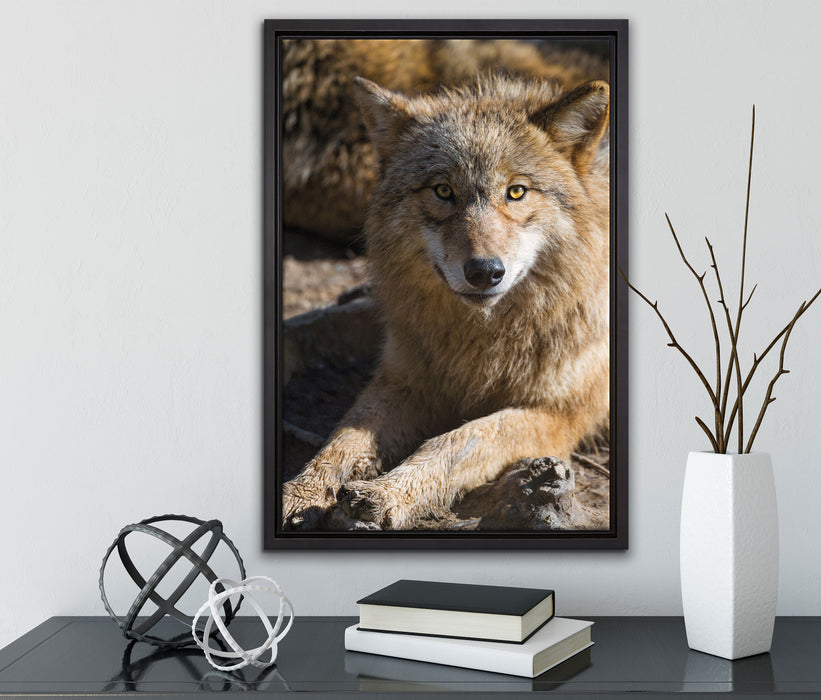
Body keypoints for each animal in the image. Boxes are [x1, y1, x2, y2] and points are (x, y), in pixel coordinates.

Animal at [282, 74, 610, 530]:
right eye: (443, 190)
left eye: (516, 192)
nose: (485, 271)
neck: (482, 341)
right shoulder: (404, 380)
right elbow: (342, 440)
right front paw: (301, 492)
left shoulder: (556, 414)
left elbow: (458, 440)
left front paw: (387, 493)